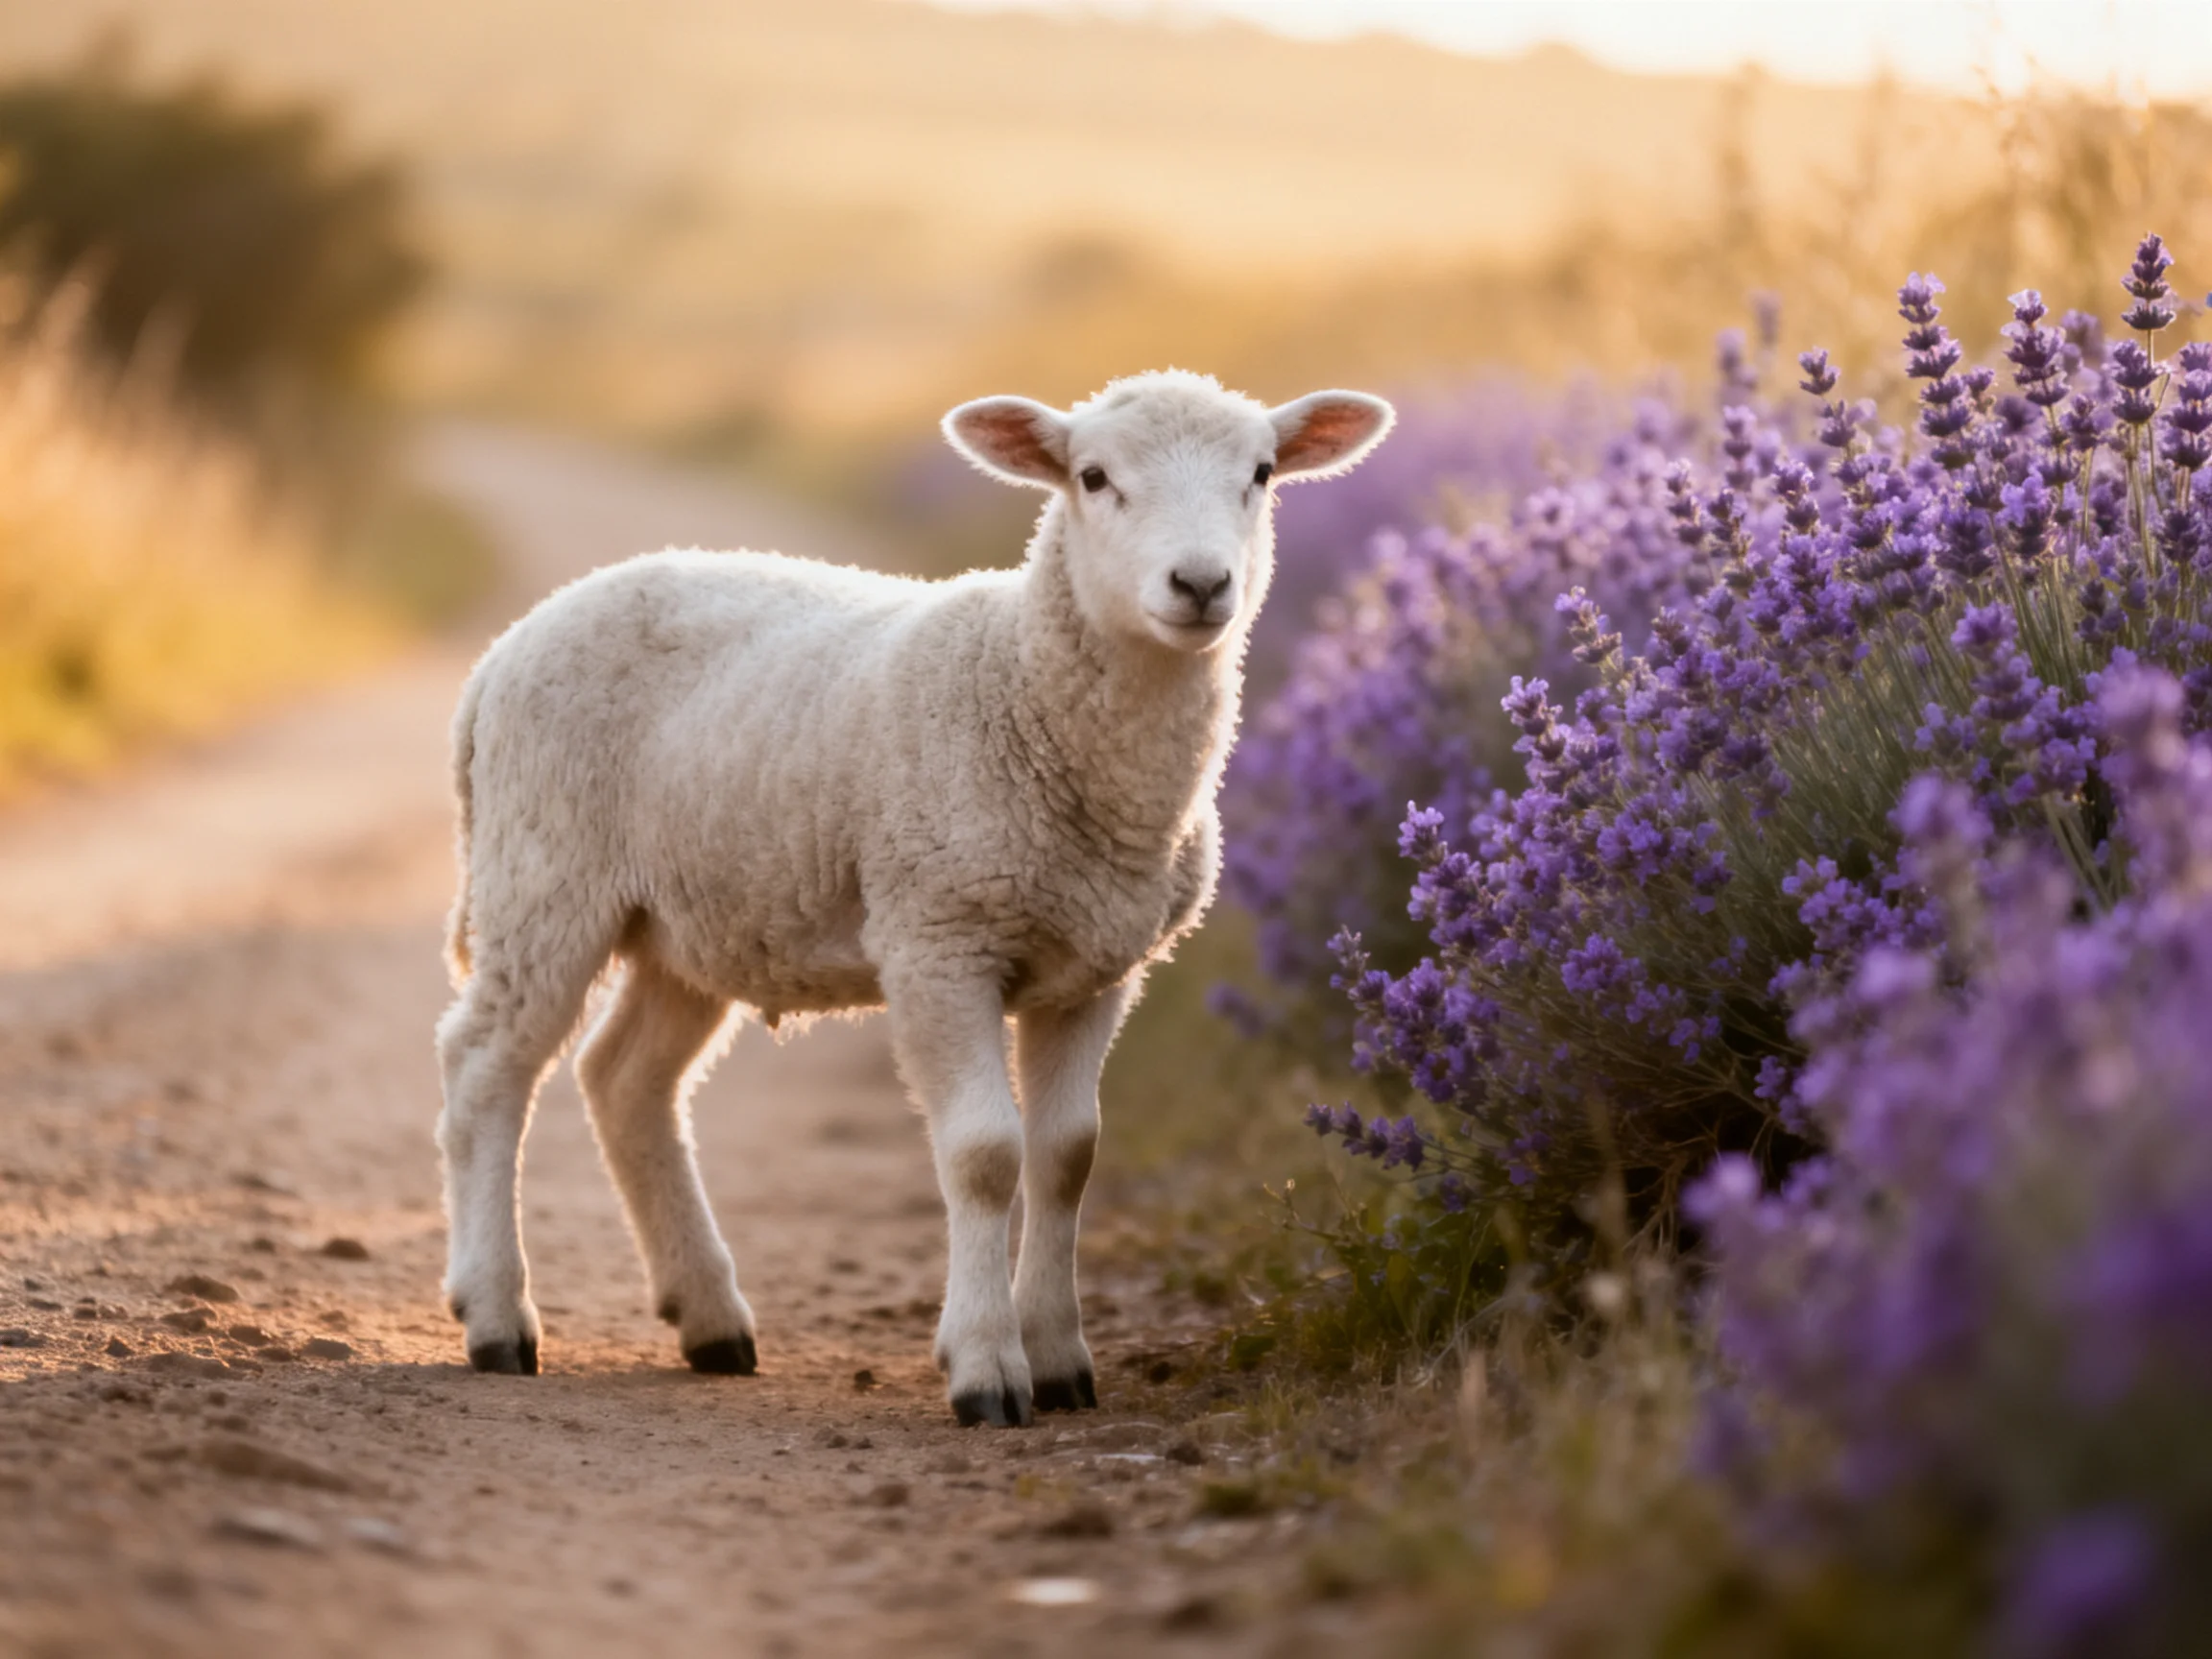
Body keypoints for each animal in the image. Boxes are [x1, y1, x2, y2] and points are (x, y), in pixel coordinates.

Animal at [435, 369, 1393, 1425]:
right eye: (1093, 478)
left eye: (1260, 474)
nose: (1200, 585)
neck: (1026, 688)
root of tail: (509, 647)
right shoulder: (939, 940)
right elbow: (984, 1155)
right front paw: (987, 1370)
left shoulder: (1096, 967)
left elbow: (1067, 1156)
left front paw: (1060, 1359)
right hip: (543, 872)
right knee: (484, 1068)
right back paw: (497, 1318)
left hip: (693, 915)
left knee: (624, 1079)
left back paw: (711, 1319)